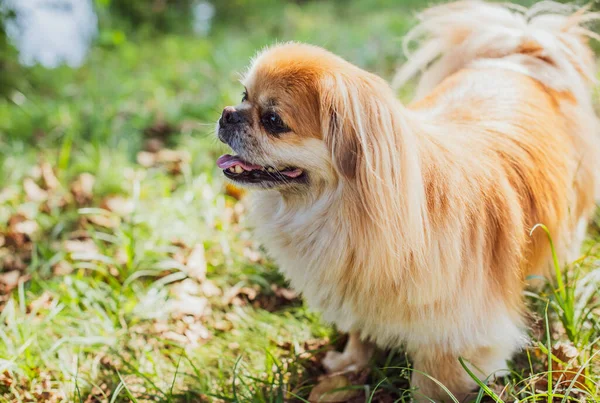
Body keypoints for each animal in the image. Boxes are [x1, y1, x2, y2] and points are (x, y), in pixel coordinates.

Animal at [216, 1, 600, 402]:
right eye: (243, 96)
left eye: (273, 120)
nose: (227, 114)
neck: (341, 212)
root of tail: (518, 55)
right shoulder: (358, 291)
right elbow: (360, 334)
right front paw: (349, 364)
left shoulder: (455, 334)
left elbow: (431, 381)